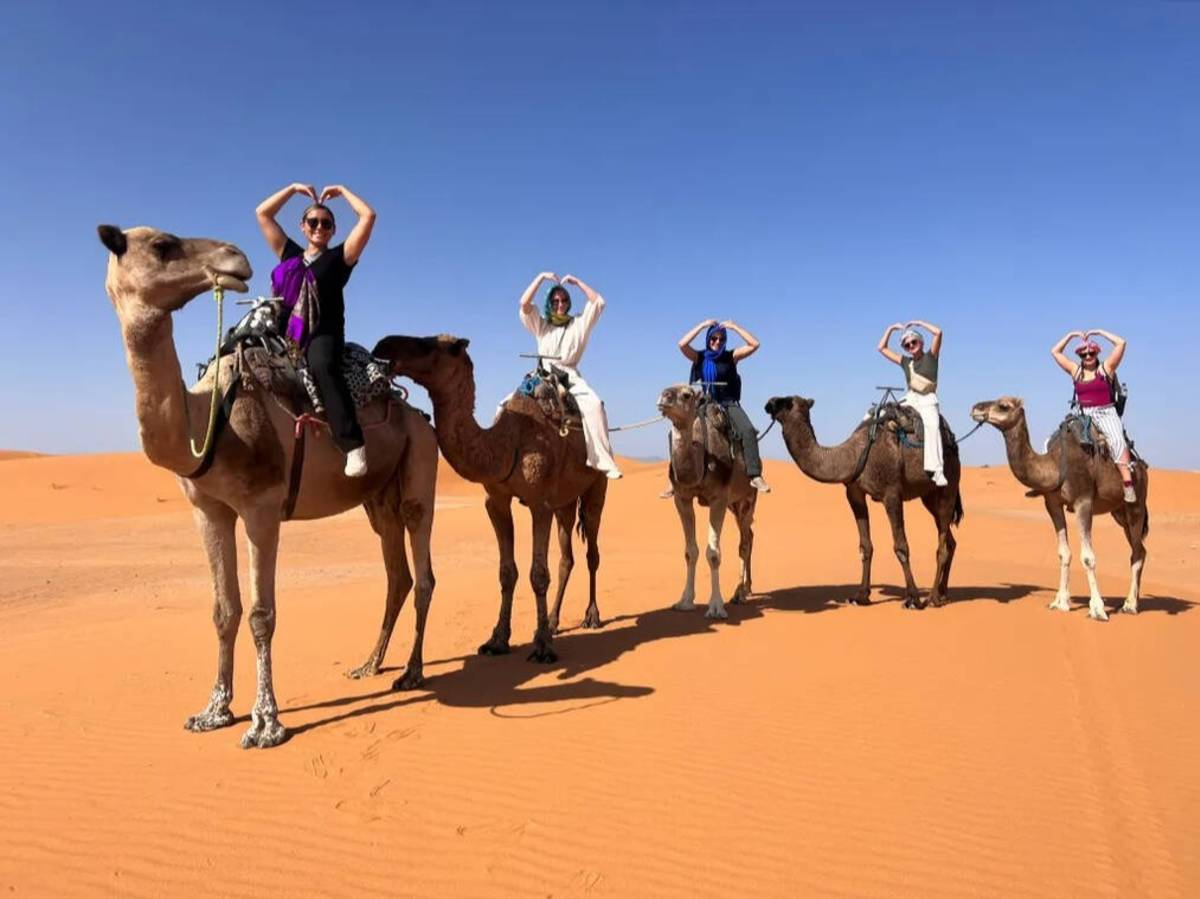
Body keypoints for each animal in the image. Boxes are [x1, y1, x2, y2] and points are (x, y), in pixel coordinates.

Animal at [98, 225, 439, 748]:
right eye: (162, 246)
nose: (235, 257)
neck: (210, 419)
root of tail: (417, 413)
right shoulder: (208, 509)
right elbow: (224, 609)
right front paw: (213, 710)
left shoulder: (261, 507)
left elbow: (262, 613)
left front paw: (265, 722)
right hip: (378, 497)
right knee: (396, 573)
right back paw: (370, 664)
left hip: (421, 461)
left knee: (422, 571)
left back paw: (413, 672)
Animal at [372, 334, 608, 663]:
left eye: (435, 344)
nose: (384, 345)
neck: (507, 443)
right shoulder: (496, 501)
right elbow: (507, 572)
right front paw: (497, 640)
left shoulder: (540, 503)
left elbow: (538, 574)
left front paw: (543, 647)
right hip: (564, 499)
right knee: (567, 557)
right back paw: (553, 621)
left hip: (596, 486)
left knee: (592, 552)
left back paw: (592, 616)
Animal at [656, 385, 757, 619]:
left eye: (686, 394)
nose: (663, 398)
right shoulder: (682, 498)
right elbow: (690, 551)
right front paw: (684, 601)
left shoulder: (718, 498)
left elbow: (713, 554)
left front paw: (716, 607)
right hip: (733, 504)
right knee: (749, 536)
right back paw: (747, 588)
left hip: (747, 498)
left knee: (744, 542)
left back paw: (739, 594)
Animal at [764, 396, 963, 608]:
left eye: (785, 402)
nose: (768, 404)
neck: (852, 456)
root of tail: (952, 441)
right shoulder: (854, 493)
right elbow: (865, 546)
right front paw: (860, 595)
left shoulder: (892, 493)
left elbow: (901, 546)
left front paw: (913, 598)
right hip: (929, 496)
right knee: (950, 541)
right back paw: (942, 593)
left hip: (949, 484)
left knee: (942, 546)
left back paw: (932, 598)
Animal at [970, 397, 1149, 620]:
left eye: (1004, 406)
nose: (975, 408)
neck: (1054, 465)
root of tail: (1141, 466)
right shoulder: (1052, 503)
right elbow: (1064, 553)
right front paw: (1060, 602)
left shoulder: (1083, 501)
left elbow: (1088, 557)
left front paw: (1097, 609)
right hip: (1118, 512)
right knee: (1139, 550)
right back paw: (1133, 601)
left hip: (1136, 505)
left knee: (1137, 551)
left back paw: (1130, 604)